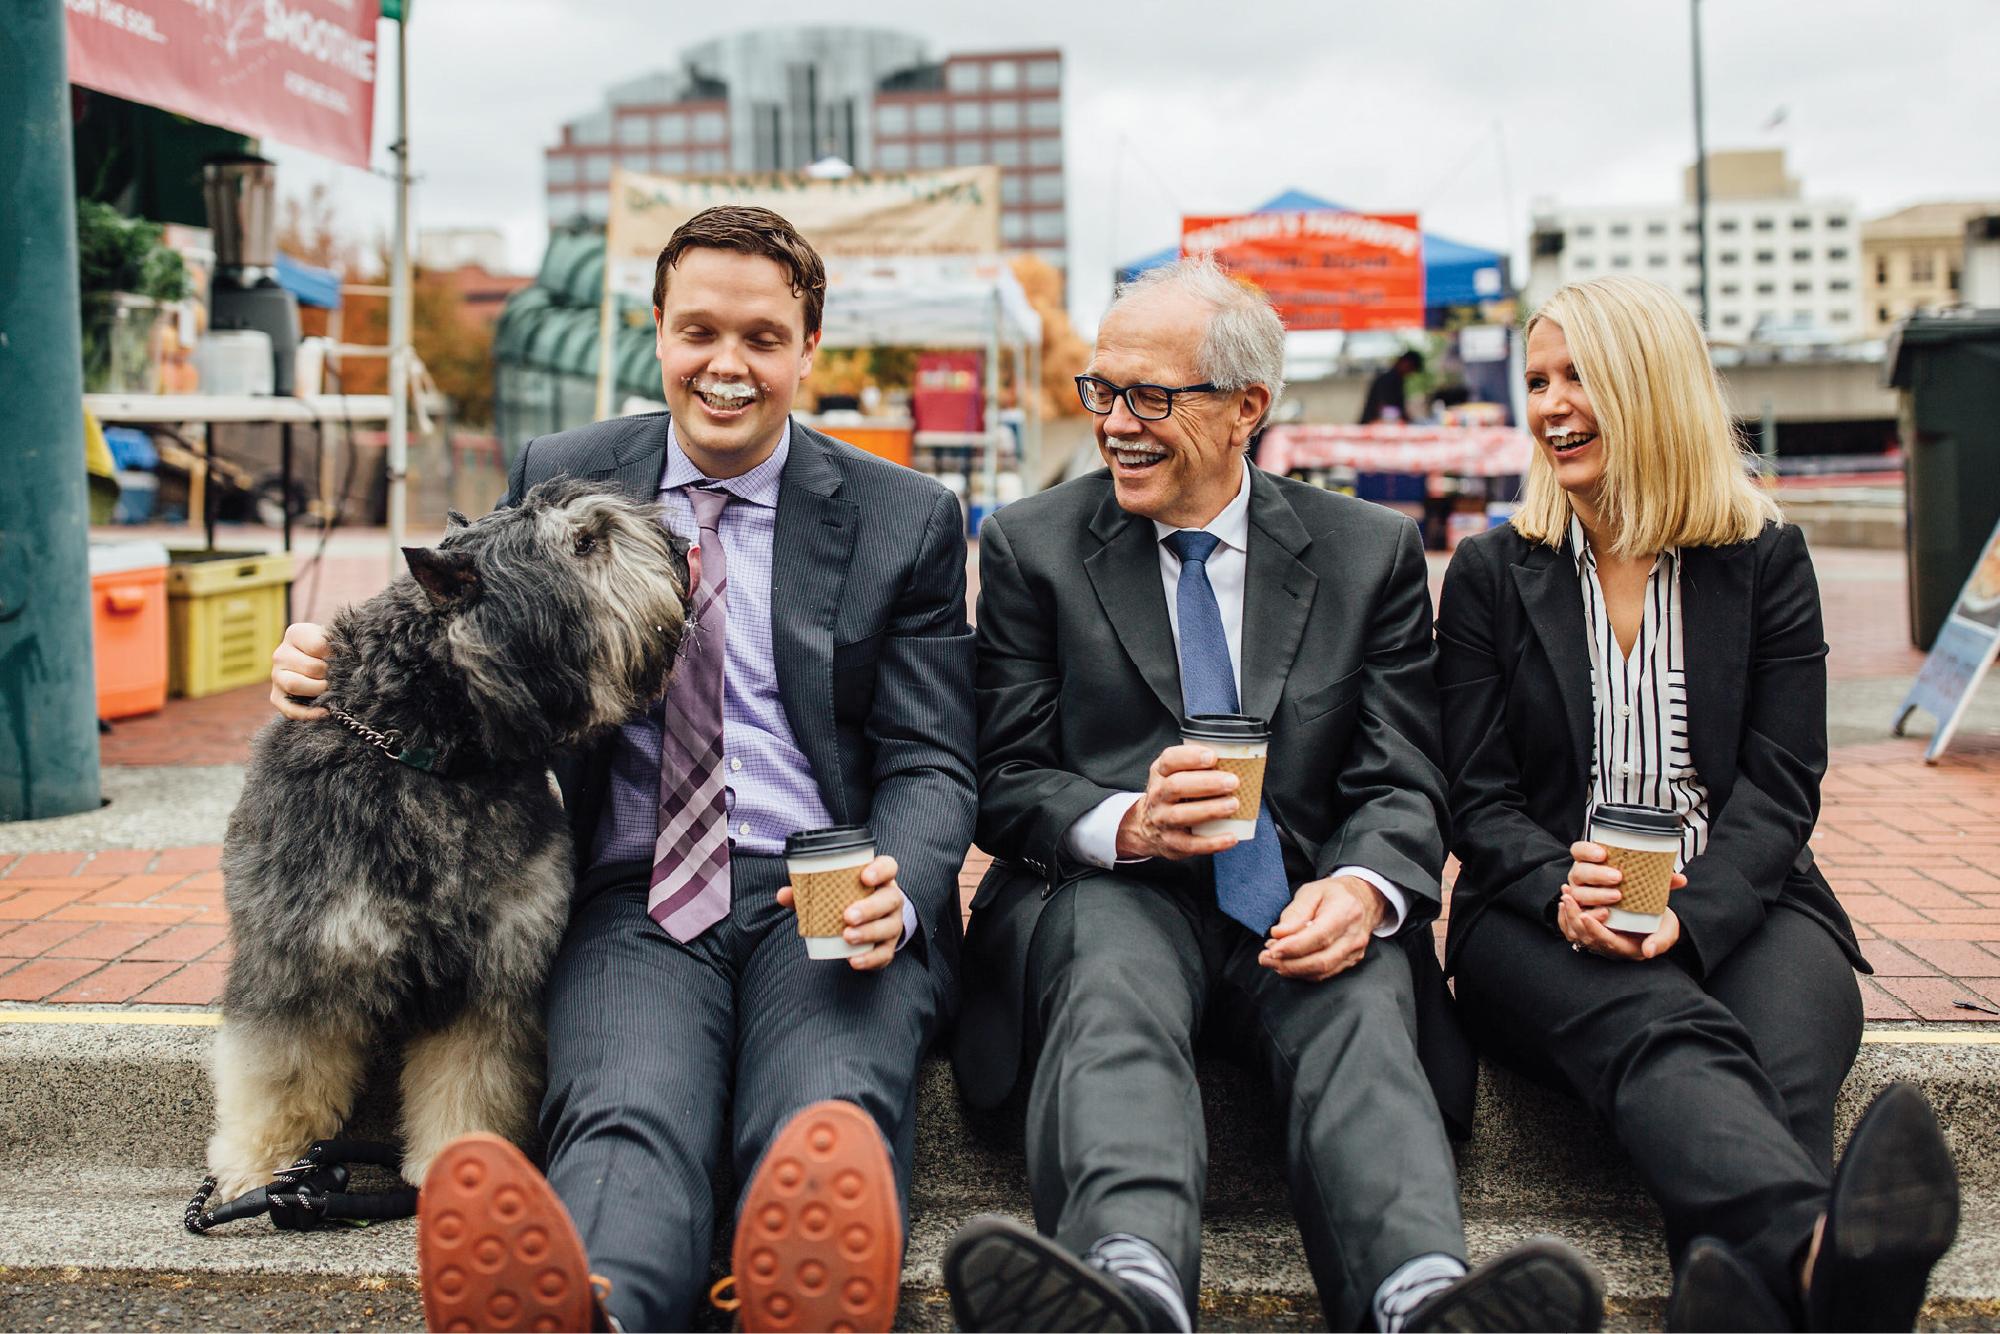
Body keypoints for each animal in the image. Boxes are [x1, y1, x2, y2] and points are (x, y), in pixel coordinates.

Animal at [203, 478, 688, 1200]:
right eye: (584, 544)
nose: (683, 548)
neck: (424, 755)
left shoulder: (491, 971)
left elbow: (471, 1082)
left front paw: (458, 1160)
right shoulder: (300, 960)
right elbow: (280, 1075)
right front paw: (259, 1166)